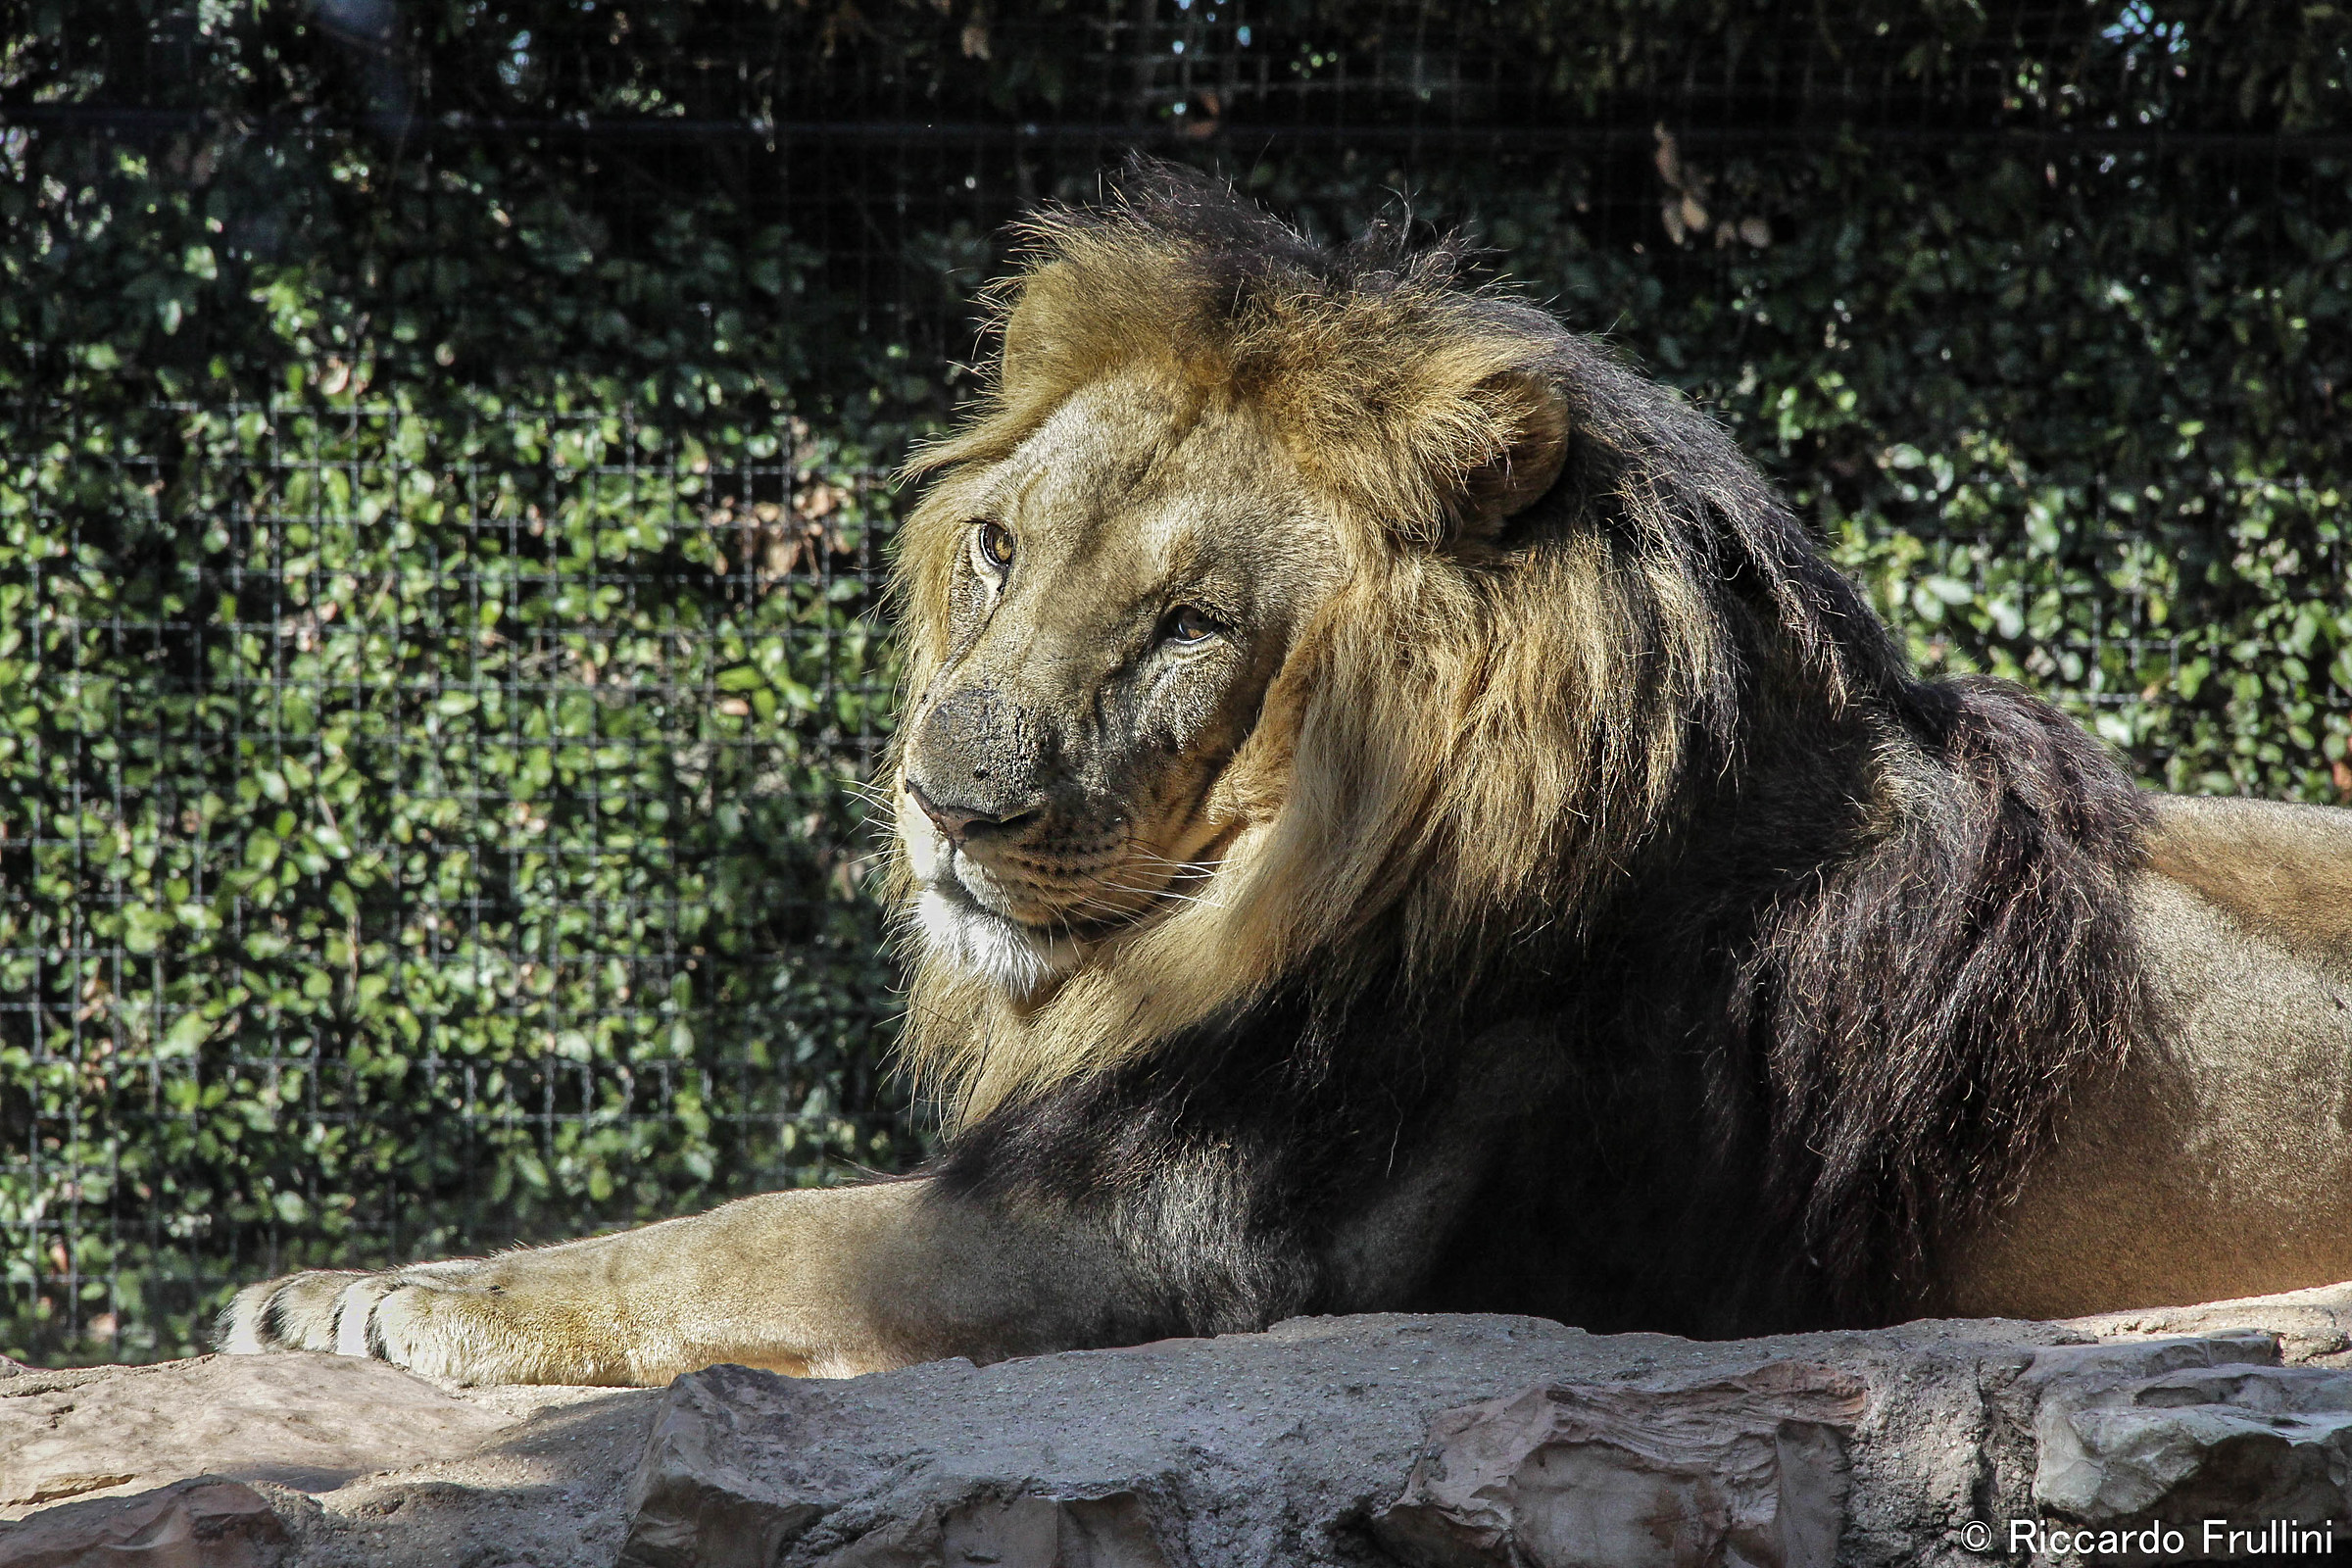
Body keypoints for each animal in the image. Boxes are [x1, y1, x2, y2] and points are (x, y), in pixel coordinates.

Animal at [219, 168, 2352, 1387]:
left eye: (1186, 627)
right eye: (996, 549)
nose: (943, 809)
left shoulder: (1200, 1237)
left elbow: (763, 1229)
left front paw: (426, 1302)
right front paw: (320, 1288)